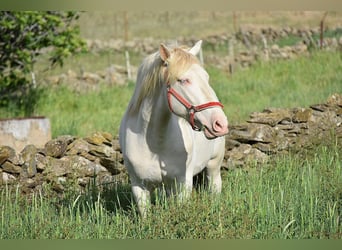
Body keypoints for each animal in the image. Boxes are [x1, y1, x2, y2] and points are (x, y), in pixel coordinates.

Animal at [119, 40, 228, 217]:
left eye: (206, 77)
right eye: (183, 80)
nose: (220, 124)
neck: (154, 142)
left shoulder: (183, 184)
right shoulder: (139, 186)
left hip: (213, 166)